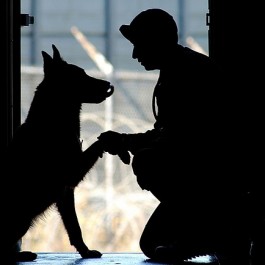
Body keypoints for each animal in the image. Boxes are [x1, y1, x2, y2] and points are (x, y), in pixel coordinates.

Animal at [3, 44, 113, 260]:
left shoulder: (65, 192)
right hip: (23, 219)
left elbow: (74, 227)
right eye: (80, 75)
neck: (52, 120)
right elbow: (97, 144)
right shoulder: (71, 175)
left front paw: (85, 251)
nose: (108, 84)